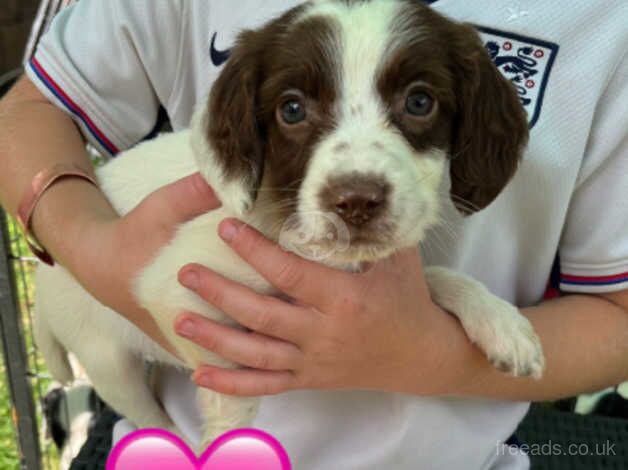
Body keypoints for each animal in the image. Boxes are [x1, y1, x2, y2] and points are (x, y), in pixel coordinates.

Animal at [34, 0, 544, 452]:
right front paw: (223, 442)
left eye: (420, 102)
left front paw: (500, 321)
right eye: (292, 109)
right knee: (147, 412)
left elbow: (438, 276)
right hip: (107, 361)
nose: (356, 202)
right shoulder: (177, 292)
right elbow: (232, 390)